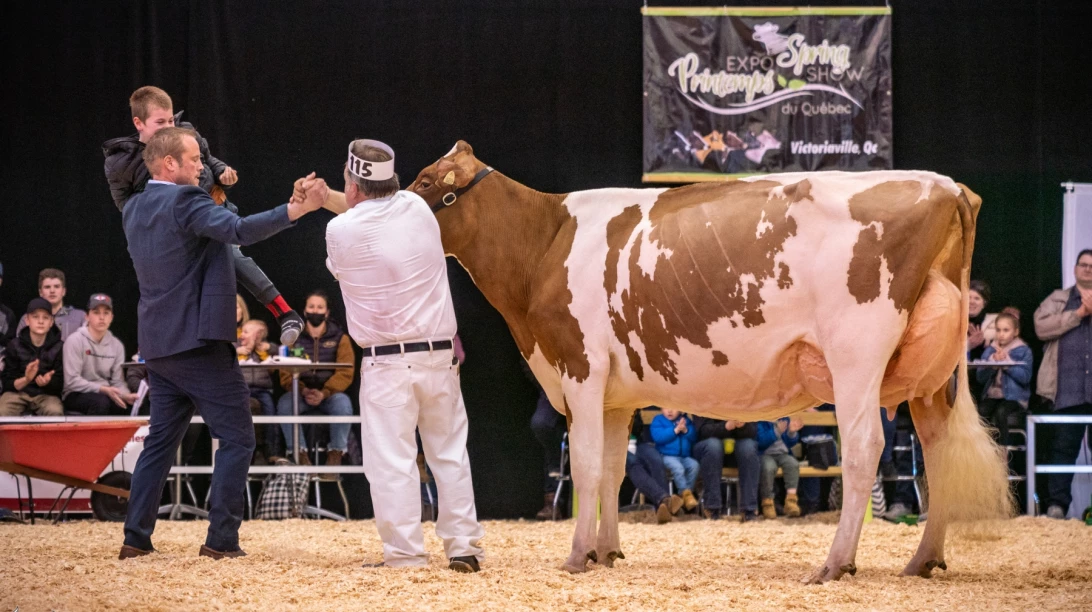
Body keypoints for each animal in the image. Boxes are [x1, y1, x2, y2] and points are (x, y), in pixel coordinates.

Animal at [330, 140, 1013, 582]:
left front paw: (575, 557)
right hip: (933, 377)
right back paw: (922, 561)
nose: (376, 206)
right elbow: (611, 467)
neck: (544, 243)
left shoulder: (580, 370)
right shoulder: (614, 394)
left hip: (856, 357)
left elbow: (585, 466)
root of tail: (944, 184)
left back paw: (835, 563)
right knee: (937, 450)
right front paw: (606, 553)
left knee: (866, 446)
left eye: (426, 184)